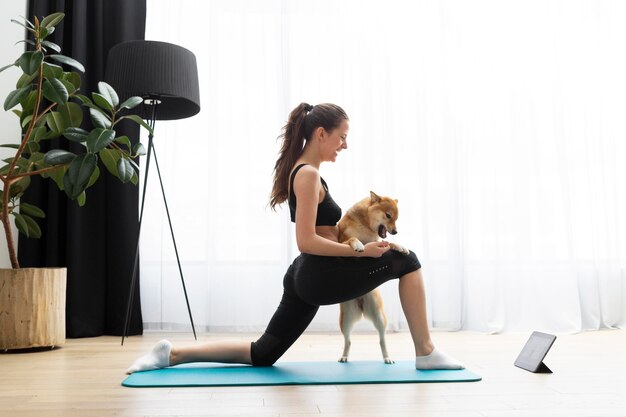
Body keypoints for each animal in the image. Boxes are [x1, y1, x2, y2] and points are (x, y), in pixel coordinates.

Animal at [336, 190, 410, 362]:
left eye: (397, 218)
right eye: (388, 215)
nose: (395, 231)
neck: (365, 226)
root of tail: (361, 303)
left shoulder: (379, 243)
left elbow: (388, 243)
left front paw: (401, 246)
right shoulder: (340, 244)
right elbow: (352, 239)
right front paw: (358, 245)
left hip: (379, 317)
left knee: (382, 340)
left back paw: (387, 358)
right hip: (345, 320)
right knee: (348, 340)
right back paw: (344, 356)